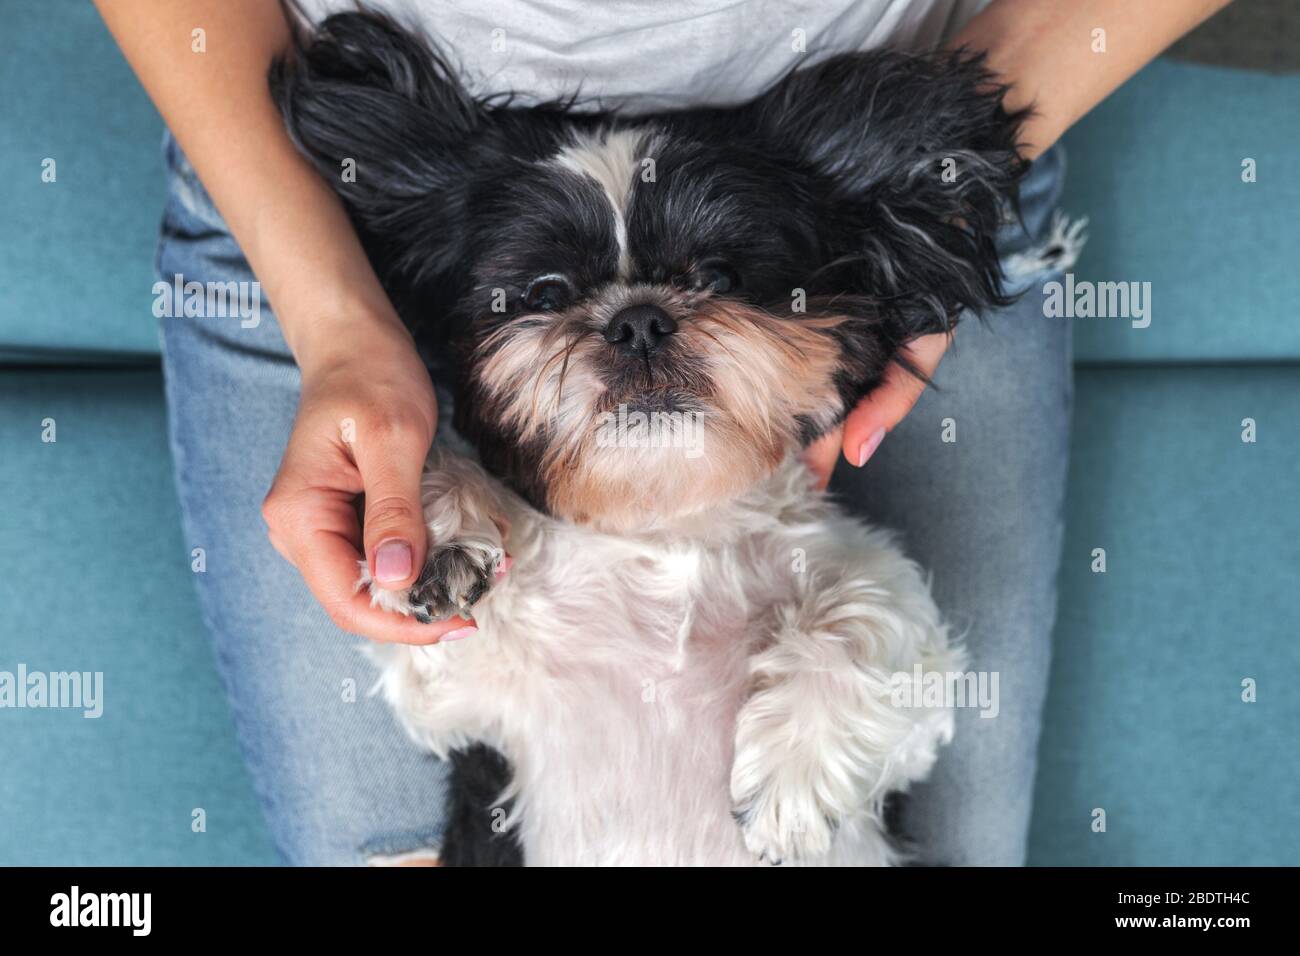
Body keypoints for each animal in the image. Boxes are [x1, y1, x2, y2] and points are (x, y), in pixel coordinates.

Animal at [271, 7, 1024, 868]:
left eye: (721, 276)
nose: (637, 320)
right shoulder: (464, 700)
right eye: (544, 294)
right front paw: (439, 530)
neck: (662, 525)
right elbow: (427, 606)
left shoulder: (910, 671)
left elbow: (864, 618)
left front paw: (788, 783)